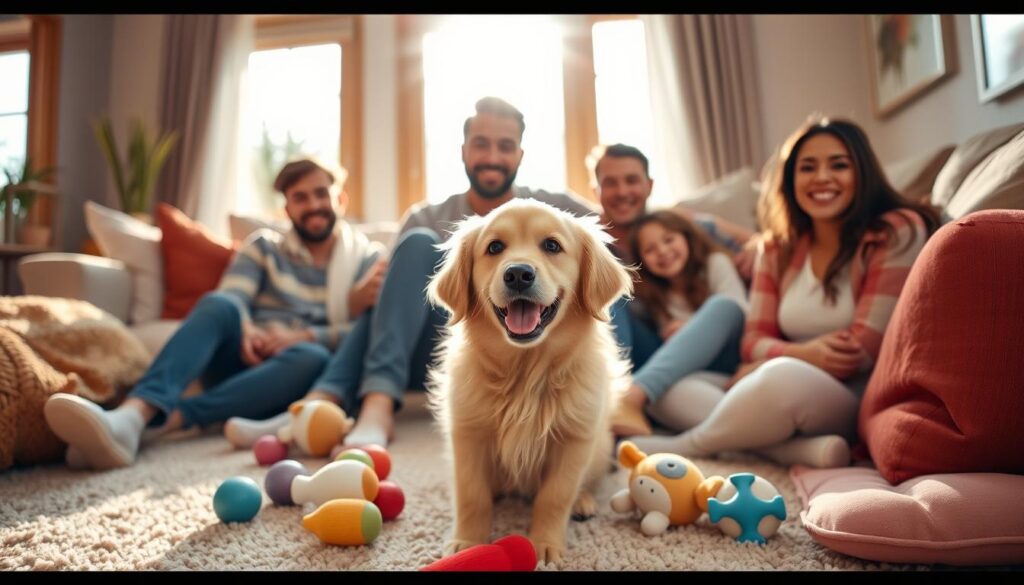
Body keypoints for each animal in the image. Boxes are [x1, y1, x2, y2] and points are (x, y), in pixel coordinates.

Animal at [423, 198, 630, 565]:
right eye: (494, 247)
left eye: (552, 246)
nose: (518, 273)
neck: (525, 371)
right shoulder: (468, 434)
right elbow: (472, 494)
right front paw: (467, 542)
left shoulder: (575, 439)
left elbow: (555, 496)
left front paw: (544, 543)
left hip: (601, 444)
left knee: (588, 482)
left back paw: (584, 502)